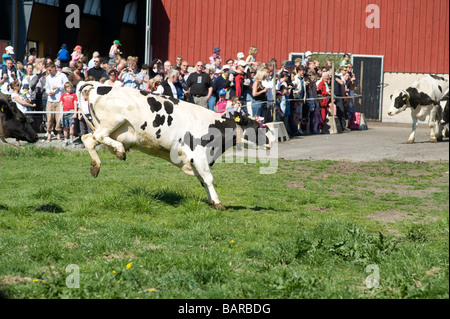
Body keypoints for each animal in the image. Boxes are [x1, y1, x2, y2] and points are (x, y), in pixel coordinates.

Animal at [78, 82, 274, 210]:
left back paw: (96, 166)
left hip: (115, 130)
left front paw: (212, 201)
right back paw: (119, 151)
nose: (271, 142)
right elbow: (209, 179)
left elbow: (203, 181)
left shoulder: (198, 160)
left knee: (88, 138)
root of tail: (99, 85)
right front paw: (218, 203)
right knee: (97, 136)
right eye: (257, 126)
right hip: (112, 122)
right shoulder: (198, 155)